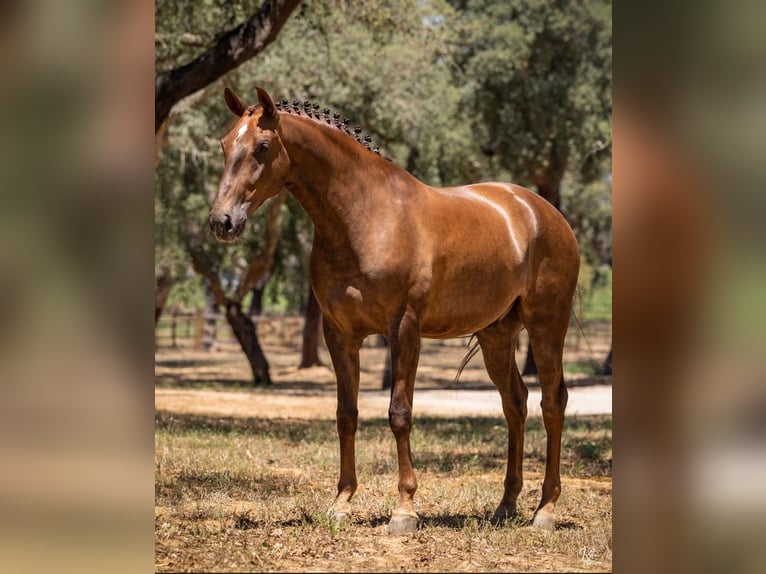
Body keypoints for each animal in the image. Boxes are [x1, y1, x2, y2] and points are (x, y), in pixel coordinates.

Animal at [212, 86, 584, 536]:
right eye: (225, 145)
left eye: (263, 147)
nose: (222, 222)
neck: (366, 217)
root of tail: (544, 212)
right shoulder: (340, 335)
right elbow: (346, 415)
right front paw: (342, 502)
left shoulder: (404, 330)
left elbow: (399, 414)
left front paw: (404, 510)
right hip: (496, 335)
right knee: (515, 403)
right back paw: (506, 505)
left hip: (547, 326)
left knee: (553, 403)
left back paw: (545, 509)